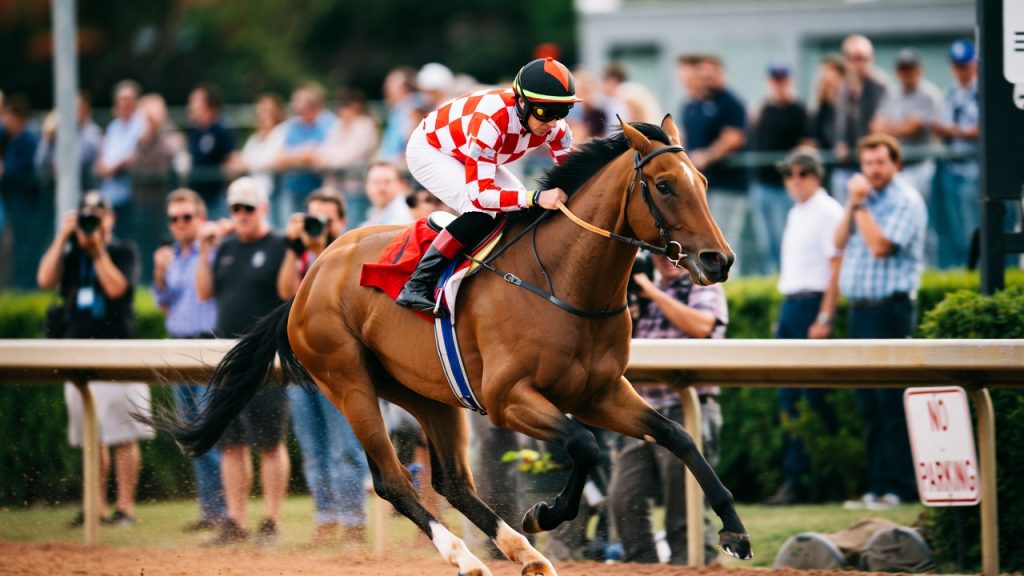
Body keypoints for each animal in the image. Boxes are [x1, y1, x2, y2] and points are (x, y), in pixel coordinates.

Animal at [152, 116, 751, 575]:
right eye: (666, 185)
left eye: (702, 180)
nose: (719, 260)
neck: (562, 281)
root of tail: (308, 278)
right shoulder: (510, 398)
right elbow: (583, 445)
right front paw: (545, 513)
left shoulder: (599, 392)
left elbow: (677, 436)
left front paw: (734, 532)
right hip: (348, 380)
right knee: (394, 481)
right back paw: (468, 556)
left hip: (428, 393)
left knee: (453, 482)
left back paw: (524, 553)